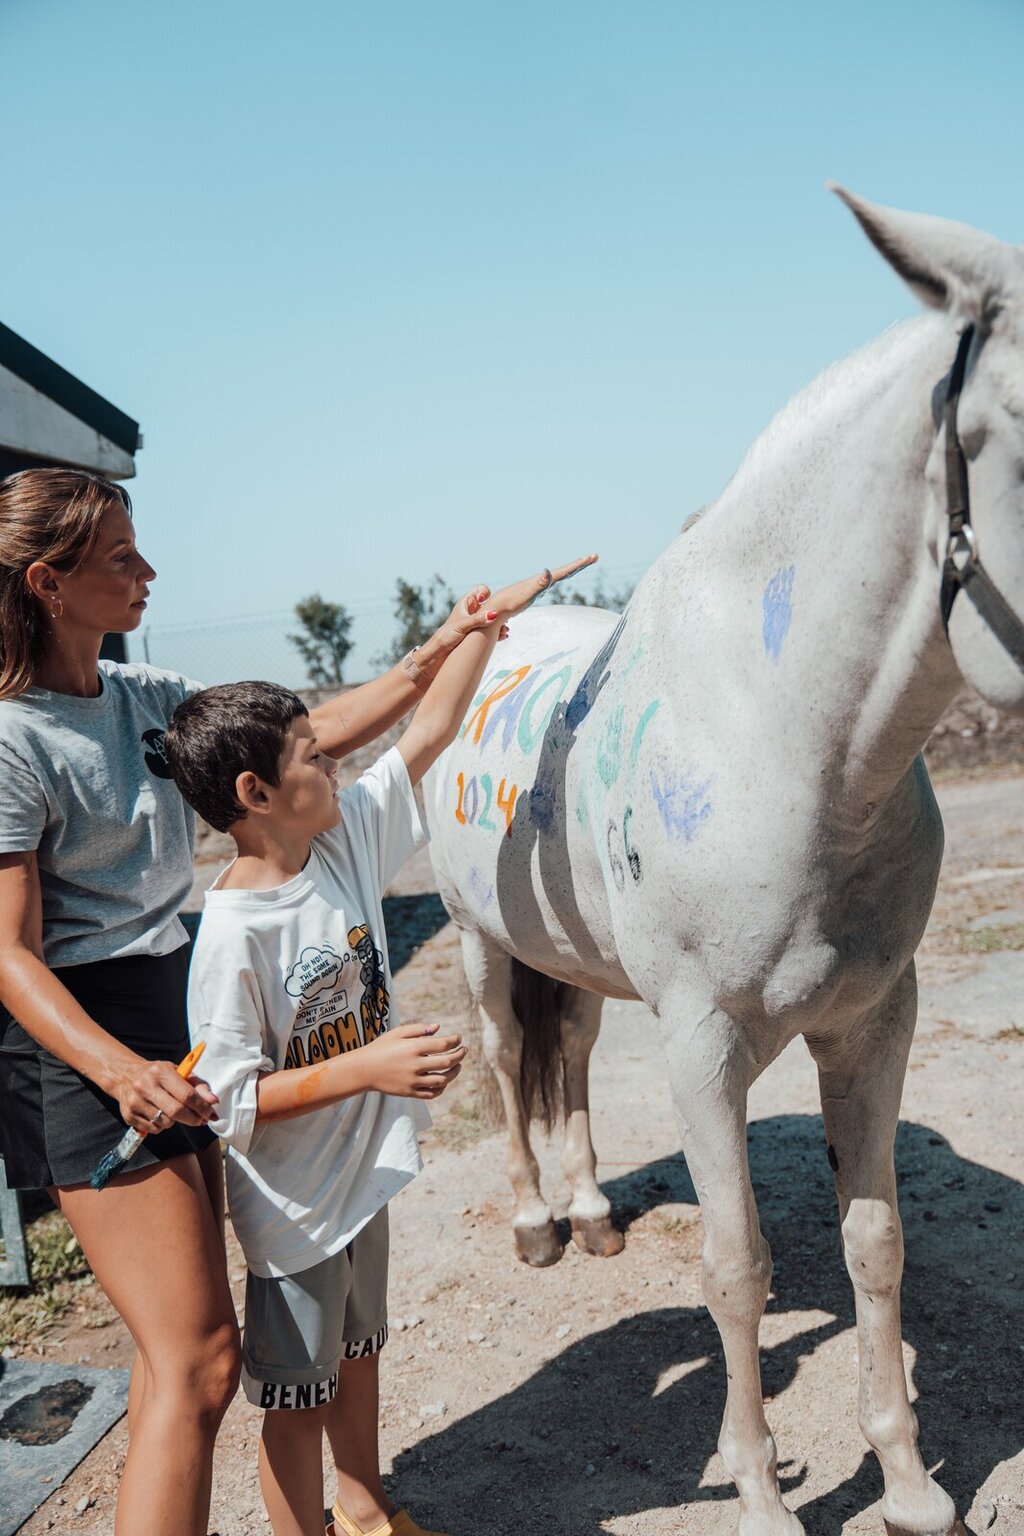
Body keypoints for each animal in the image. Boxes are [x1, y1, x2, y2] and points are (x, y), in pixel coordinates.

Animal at [426, 195, 1024, 1536]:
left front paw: (910, 1487)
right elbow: (736, 1265)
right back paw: (537, 1221)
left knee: (569, 1055)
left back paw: (592, 1213)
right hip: (484, 946)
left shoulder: (875, 1020)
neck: (787, 740)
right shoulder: (702, 1043)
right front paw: (758, 1495)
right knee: (505, 1063)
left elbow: (874, 1245)